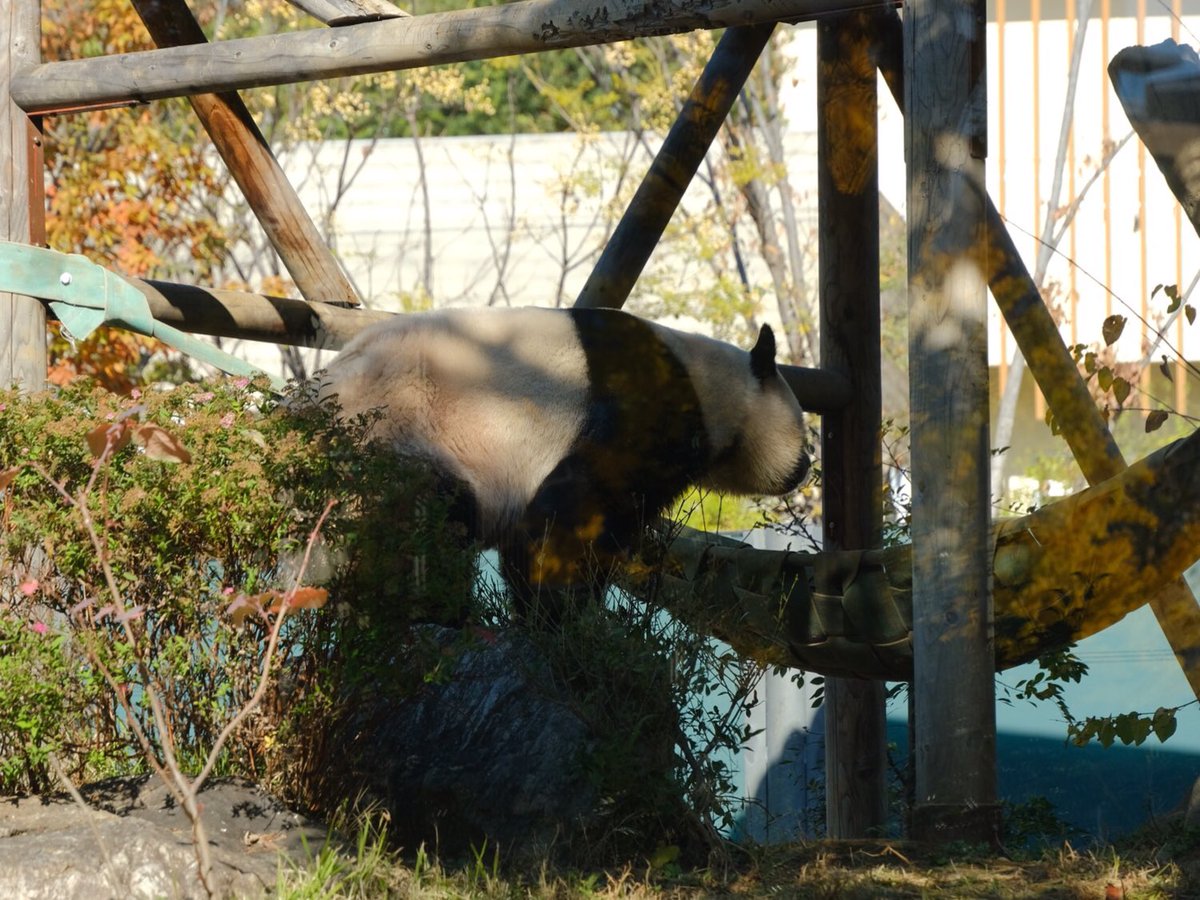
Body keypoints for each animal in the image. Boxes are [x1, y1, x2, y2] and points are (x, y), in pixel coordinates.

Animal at [317, 305, 810, 618]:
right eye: (804, 428)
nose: (804, 467)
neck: (706, 384)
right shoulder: (637, 416)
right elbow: (573, 518)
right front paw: (562, 617)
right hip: (403, 433)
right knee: (420, 527)